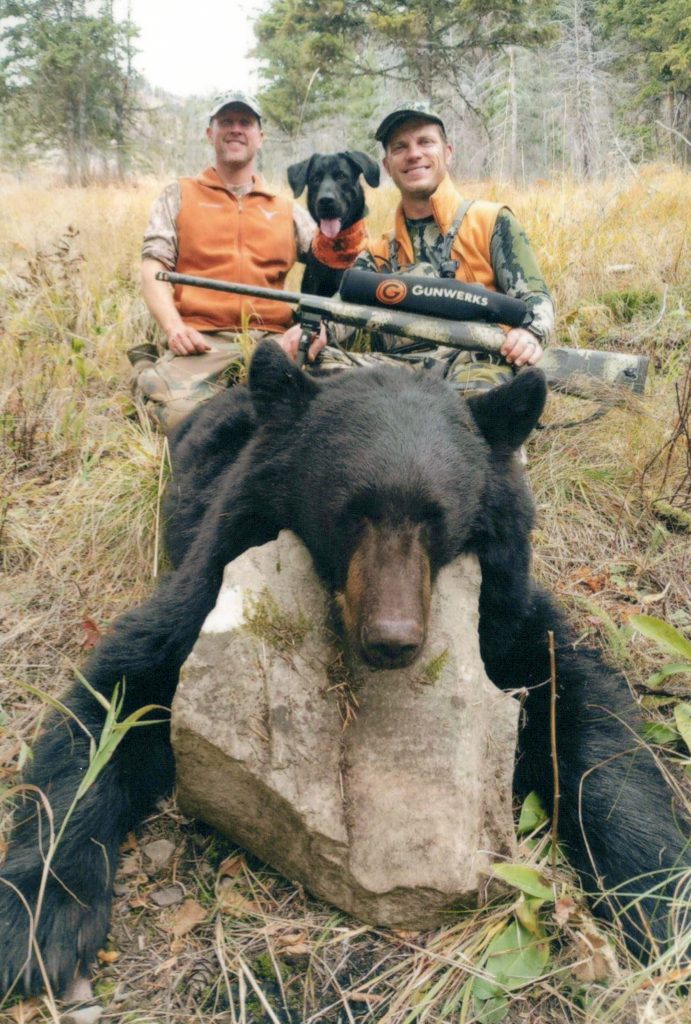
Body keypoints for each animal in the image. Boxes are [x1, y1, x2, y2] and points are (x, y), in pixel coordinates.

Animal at [0, 341, 688, 998]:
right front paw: (42, 921)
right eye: (351, 511)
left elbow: (583, 706)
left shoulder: (504, 609)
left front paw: (660, 898)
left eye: (435, 516)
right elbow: (114, 699)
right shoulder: (214, 573)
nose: (392, 640)